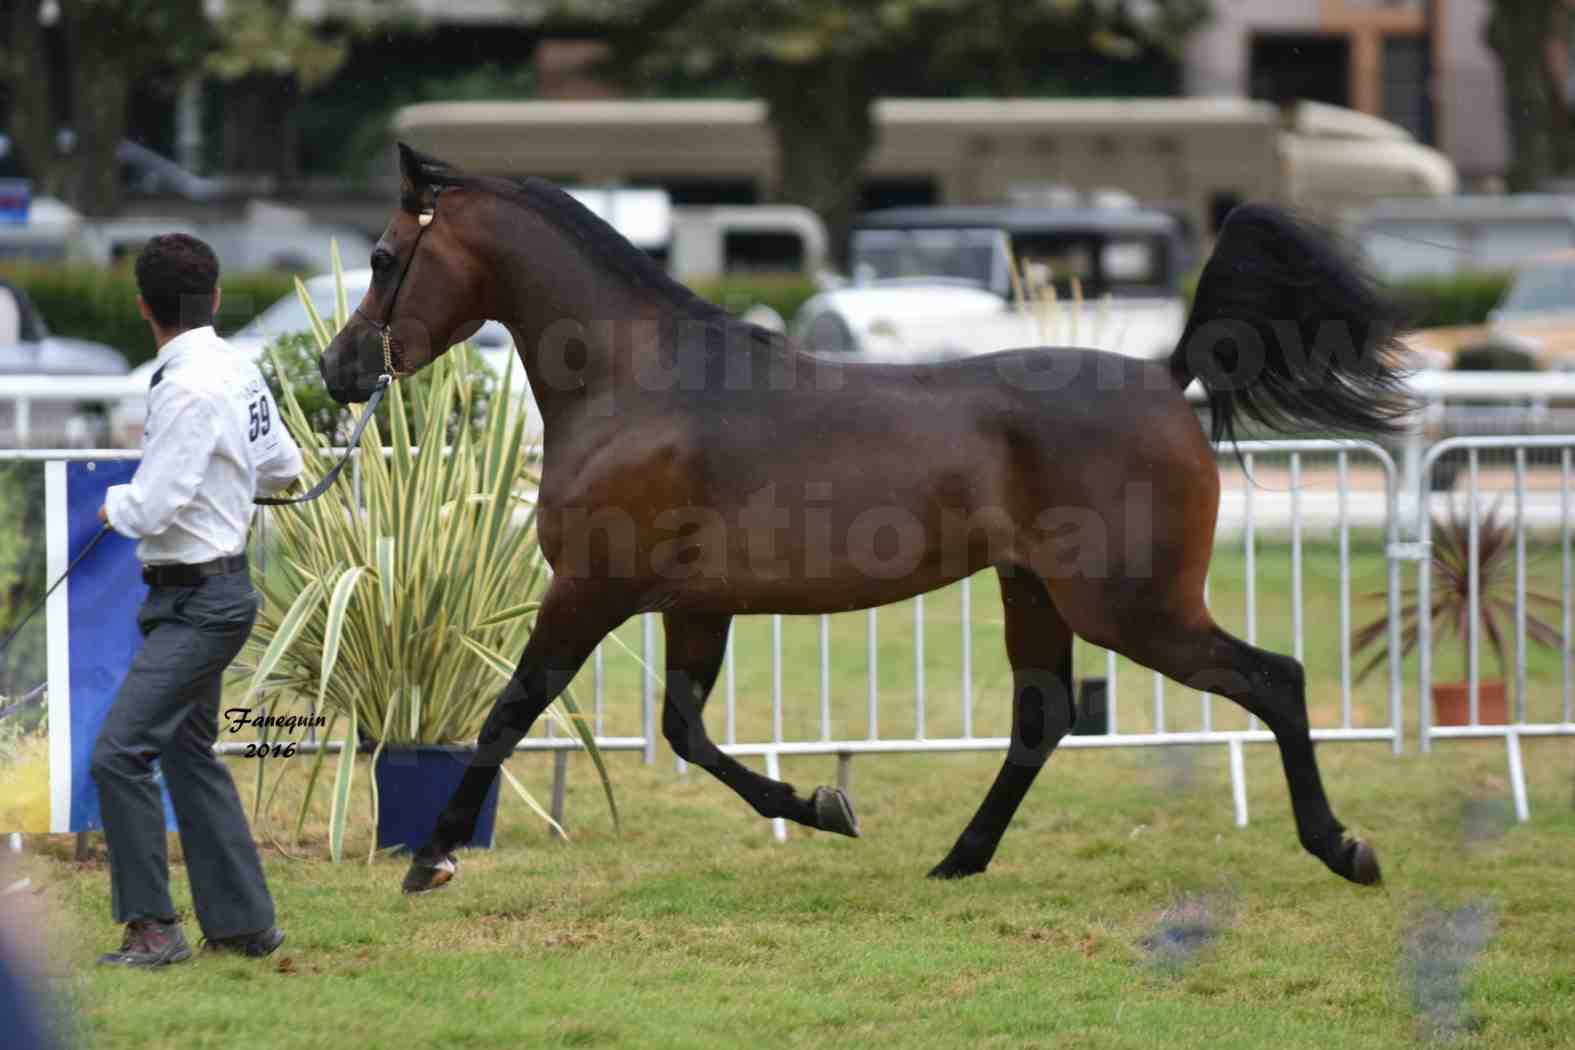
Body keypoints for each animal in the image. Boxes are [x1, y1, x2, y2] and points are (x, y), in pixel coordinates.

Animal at [326, 141, 1411, 894]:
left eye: (382, 256)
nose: (338, 370)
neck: (638, 385)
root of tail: (1165, 374)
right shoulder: (694, 605)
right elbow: (686, 732)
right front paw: (824, 805)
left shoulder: (588, 591)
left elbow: (513, 711)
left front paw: (431, 858)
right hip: (1036, 594)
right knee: (1044, 720)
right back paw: (957, 860)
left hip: (1130, 606)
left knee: (1273, 680)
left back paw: (1344, 848)